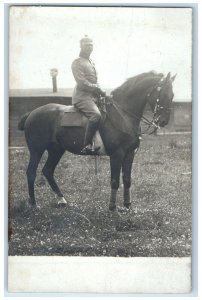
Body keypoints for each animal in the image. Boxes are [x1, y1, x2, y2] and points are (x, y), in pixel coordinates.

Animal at [17, 70, 175, 211]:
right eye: (162, 94)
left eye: (172, 95)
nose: (163, 121)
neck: (123, 115)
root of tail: (32, 113)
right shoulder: (117, 154)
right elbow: (115, 181)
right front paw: (112, 207)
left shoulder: (130, 154)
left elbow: (127, 180)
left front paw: (128, 206)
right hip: (37, 150)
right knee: (31, 172)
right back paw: (33, 203)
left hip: (56, 150)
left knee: (48, 170)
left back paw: (61, 199)